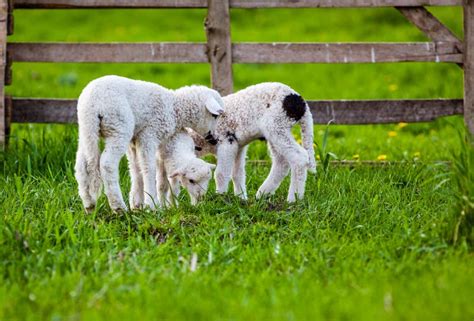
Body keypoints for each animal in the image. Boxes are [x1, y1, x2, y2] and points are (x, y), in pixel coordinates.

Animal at [74, 74, 224, 211]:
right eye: (215, 115)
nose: (214, 139)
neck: (174, 109)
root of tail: (93, 103)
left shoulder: (134, 140)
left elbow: (136, 169)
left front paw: (137, 204)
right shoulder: (149, 135)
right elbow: (148, 168)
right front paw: (151, 205)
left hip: (87, 131)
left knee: (82, 165)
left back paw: (89, 205)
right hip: (119, 126)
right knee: (107, 164)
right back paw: (119, 207)